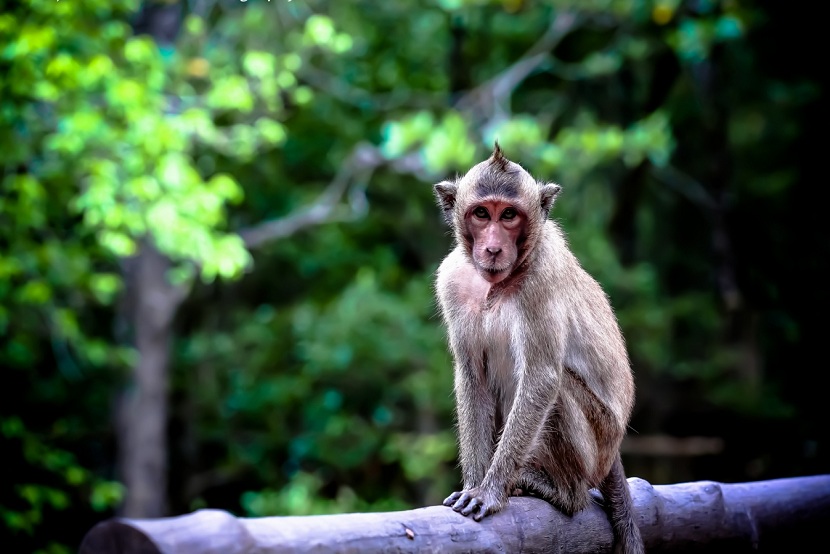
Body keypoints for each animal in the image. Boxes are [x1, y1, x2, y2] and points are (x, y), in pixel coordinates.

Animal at [432, 143, 648, 552]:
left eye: (509, 215)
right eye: (481, 213)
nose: (493, 247)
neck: (497, 284)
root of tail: (612, 452)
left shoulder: (542, 281)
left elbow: (542, 379)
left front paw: (490, 491)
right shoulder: (451, 281)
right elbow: (473, 379)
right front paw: (473, 484)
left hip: (596, 445)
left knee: (558, 388)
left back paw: (559, 491)